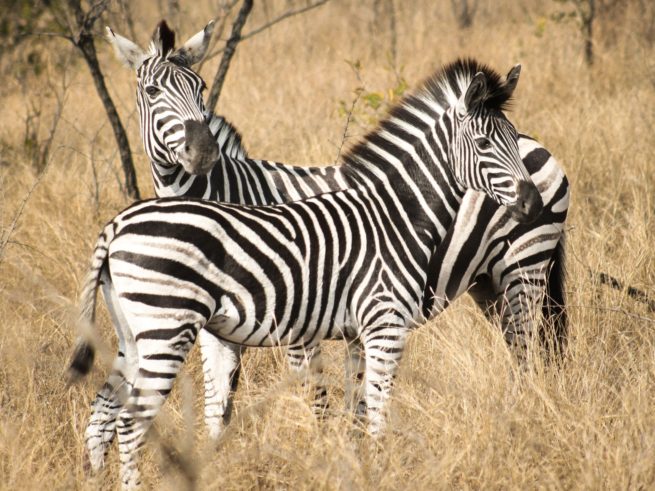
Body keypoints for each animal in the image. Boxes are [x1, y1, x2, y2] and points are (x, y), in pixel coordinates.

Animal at [69, 58, 564, 489]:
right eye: (484, 145)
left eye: (510, 138)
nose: (532, 204)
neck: (395, 216)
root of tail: (117, 224)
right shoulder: (383, 327)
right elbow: (371, 413)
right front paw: (375, 472)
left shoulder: (355, 331)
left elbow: (354, 412)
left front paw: (355, 468)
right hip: (166, 328)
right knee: (128, 423)